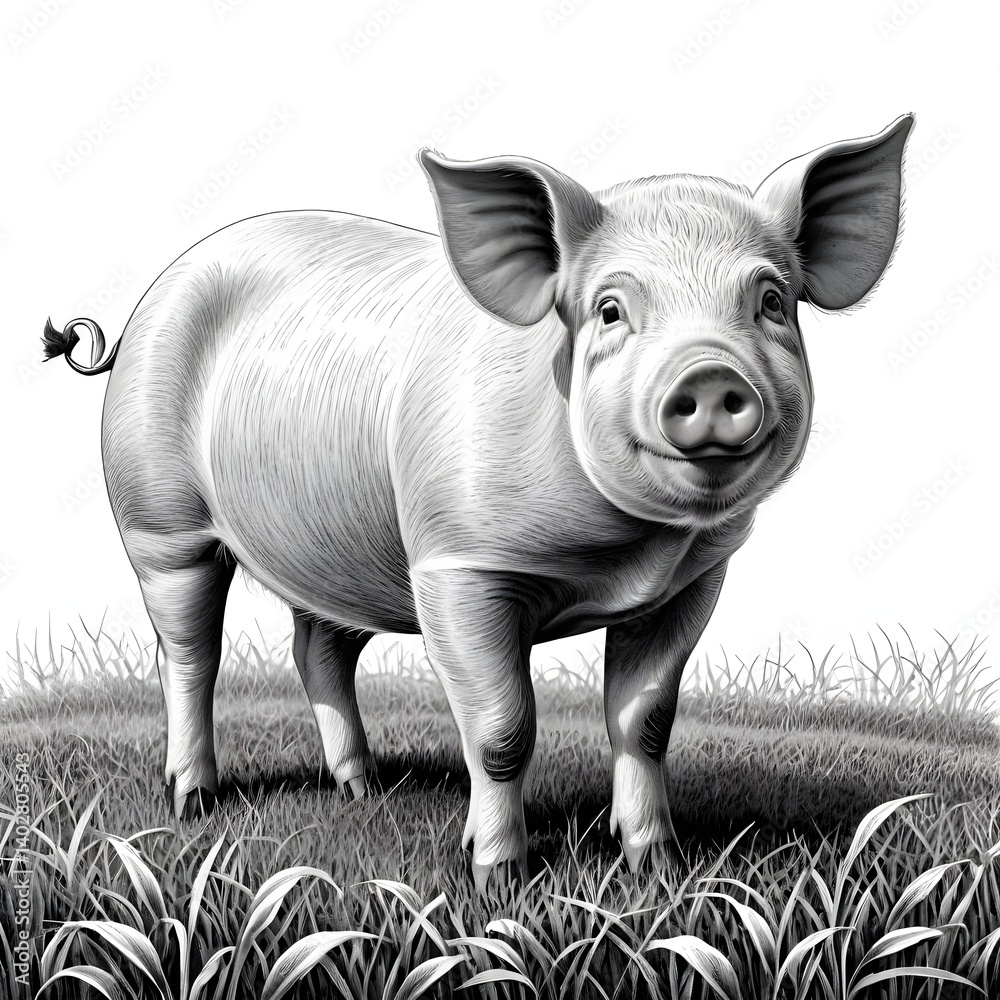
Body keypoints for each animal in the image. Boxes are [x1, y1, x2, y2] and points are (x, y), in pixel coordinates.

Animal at [44, 114, 913, 887]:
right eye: (610, 310)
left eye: (770, 301)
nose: (709, 375)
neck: (623, 552)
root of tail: (148, 300)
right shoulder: (456, 566)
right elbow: (501, 730)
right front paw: (497, 878)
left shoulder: (693, 579)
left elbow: (647, 721)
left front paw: (656, 865)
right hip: (159, 520)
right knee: (190, 652)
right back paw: (193, 802)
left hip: (335, 539)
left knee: (317, 648)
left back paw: (362, 790)